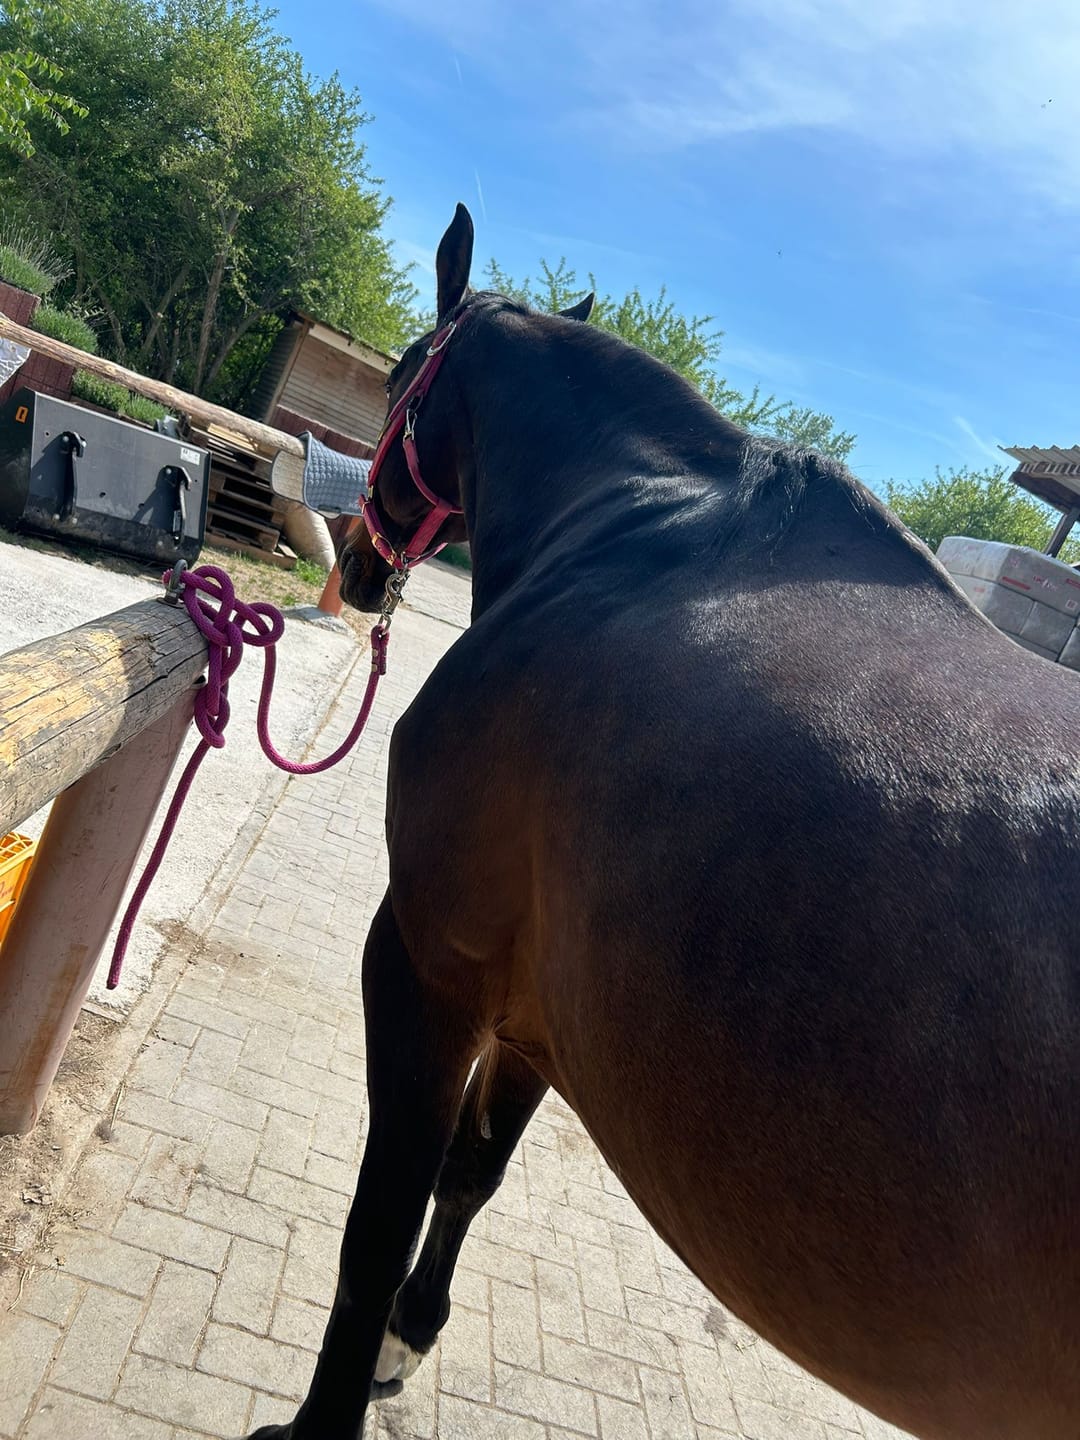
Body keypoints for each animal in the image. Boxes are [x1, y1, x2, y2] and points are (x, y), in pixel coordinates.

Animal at [245, 204, 1080, 1440]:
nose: (353, 556)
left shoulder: (427, 962)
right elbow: (472, 1170)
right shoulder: (535, 1009)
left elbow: (377, 1218)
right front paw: (411, 1332)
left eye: (398, 375)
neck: (640, 540)